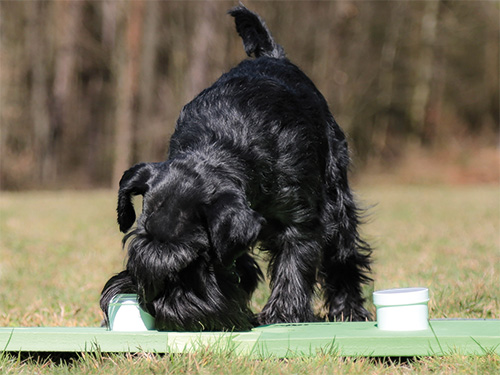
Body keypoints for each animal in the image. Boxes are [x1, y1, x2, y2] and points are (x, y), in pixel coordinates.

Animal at [99, 5, 372, 332]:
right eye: (136, 249)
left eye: (191, 259)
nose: (156, 306)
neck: (222, 145)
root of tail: (273, 55)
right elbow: (239, 262)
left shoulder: (301, 218)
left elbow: (295, 259)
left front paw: (282, 314)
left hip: (337, 200)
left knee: (343, 254)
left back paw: (349, 309)